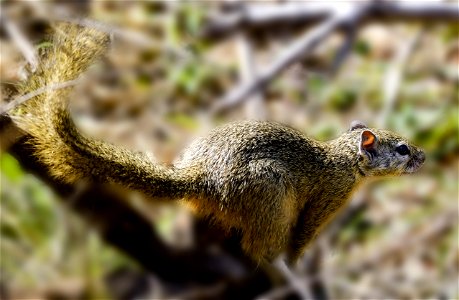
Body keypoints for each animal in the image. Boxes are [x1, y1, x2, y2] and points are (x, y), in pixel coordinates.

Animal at [9, 26, 426, 264]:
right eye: (401, 149)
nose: (423, 156)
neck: (344, 159)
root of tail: (198, 177)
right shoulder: (328, 197)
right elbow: (304, 236)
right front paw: (299, 261)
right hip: (270, 196)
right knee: (258, 247)